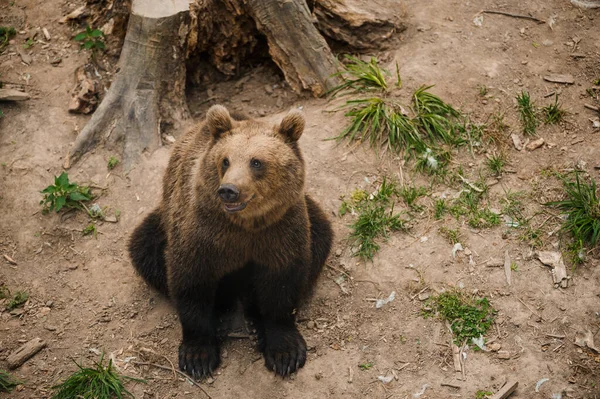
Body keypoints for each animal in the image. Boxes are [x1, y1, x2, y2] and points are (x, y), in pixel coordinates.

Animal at [128, 104, 332, 380]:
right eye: (225, 160)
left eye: (256, 162)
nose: (229, 190)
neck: (245, 224)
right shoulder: (203, 231)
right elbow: (190, 280)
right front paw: (198, 355)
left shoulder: (281, 228)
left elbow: (283, 281)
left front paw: (285, 352)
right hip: (163, 220)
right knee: (145, 250)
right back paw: (223, 315)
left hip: (311, 217)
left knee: (322, 237)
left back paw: (254, 323)